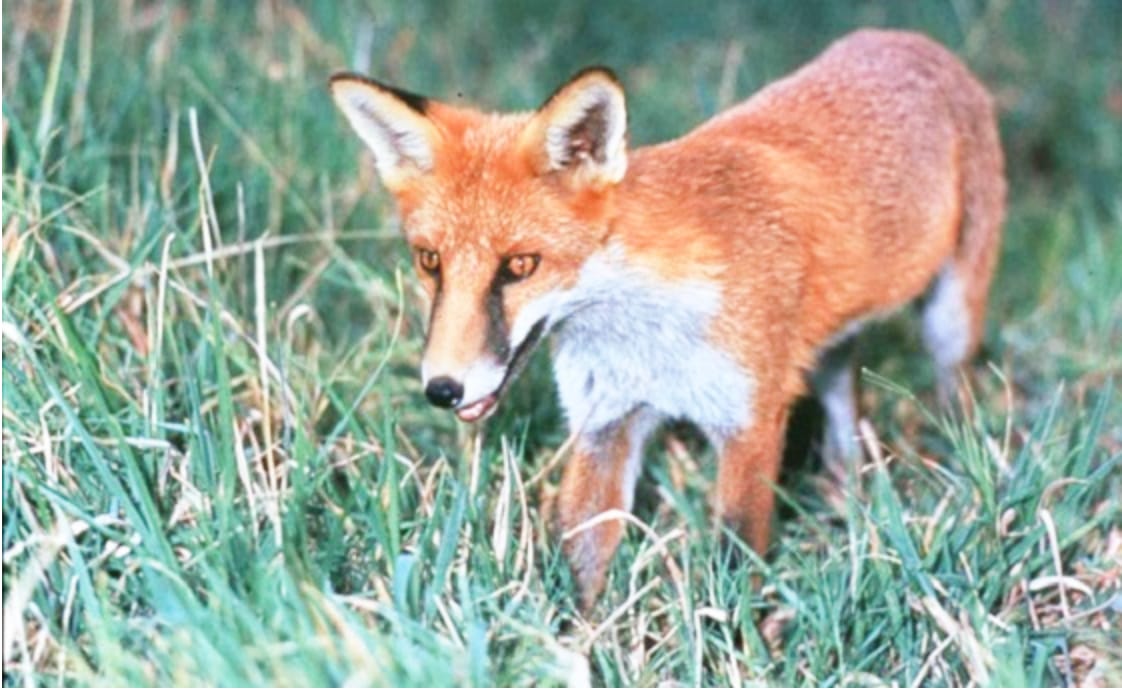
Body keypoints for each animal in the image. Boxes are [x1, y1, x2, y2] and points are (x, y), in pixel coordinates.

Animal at [329, 28, 1005, 609]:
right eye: (430, 261)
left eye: (520, 265)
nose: (442, 389)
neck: (647, 336)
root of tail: (903, 39)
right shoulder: (605, 423)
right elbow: (583, 565)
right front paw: (575, 650)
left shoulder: (749, 422)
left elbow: (735, 564)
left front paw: (738, 646)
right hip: (829, 346)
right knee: (846, 396)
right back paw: (849, 489)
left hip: (949, 321)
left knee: (954, 394)